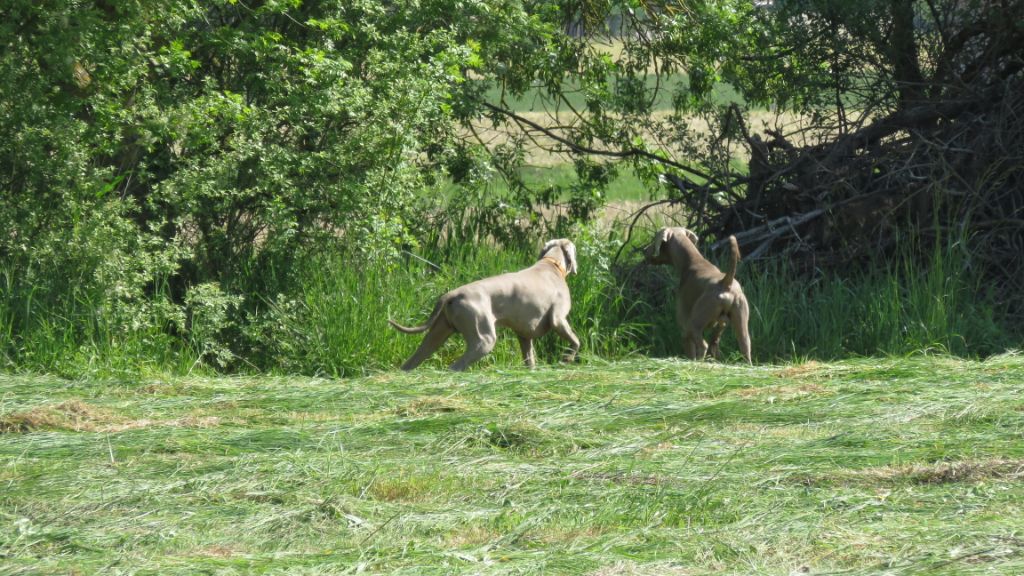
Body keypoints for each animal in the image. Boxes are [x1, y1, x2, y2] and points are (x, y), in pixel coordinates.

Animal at [387, 236, 581, 366]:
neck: (551, 263)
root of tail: (451, 294)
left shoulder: (524, 335)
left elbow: (530, 361)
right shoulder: (558, 319)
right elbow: (576, 341)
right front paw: (567, 358)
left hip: (437, 333)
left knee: (412, 362)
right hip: (484, 339)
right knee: (455, 366)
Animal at [647, 226, 753, 360]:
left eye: (654, 240)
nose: (644, 250)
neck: (692, 262)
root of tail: (725, 283)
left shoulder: (685, 330)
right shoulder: (718, 327)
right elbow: (715, 343)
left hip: (693, 325)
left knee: (703, 346)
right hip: (741, 323)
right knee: (745, 345)